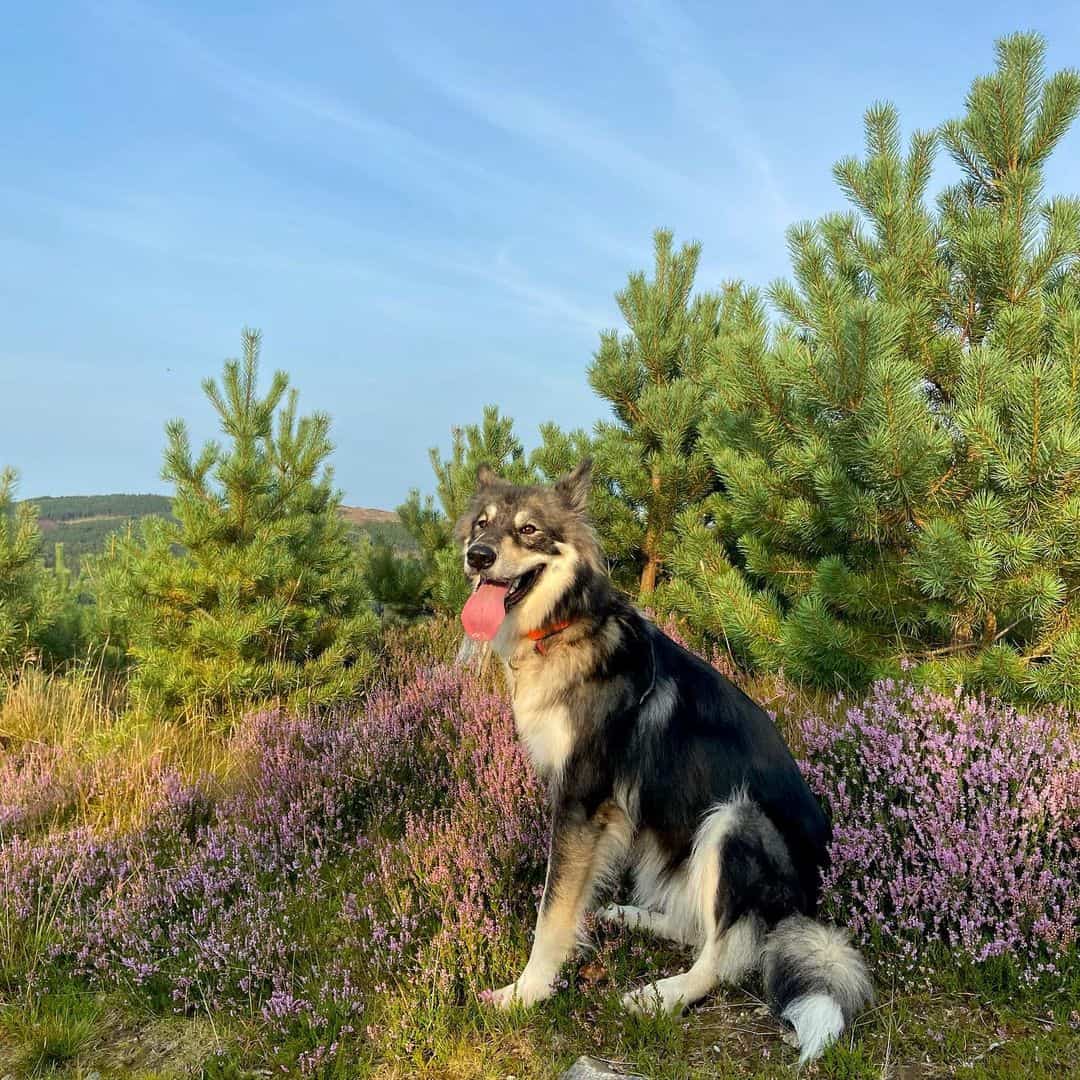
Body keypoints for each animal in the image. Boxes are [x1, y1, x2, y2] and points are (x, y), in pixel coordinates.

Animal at [453, 457, 868, 1062]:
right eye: (481, 523)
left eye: (528, 529)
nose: (478, 556)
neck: (568, 626)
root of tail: (808, 905)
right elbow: (570, 902)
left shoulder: (581, 799)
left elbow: (551, 913)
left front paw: (526, 992)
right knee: (702, 928)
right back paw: (632, 917)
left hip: (732, 821)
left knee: (727, 953)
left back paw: (663, 994)